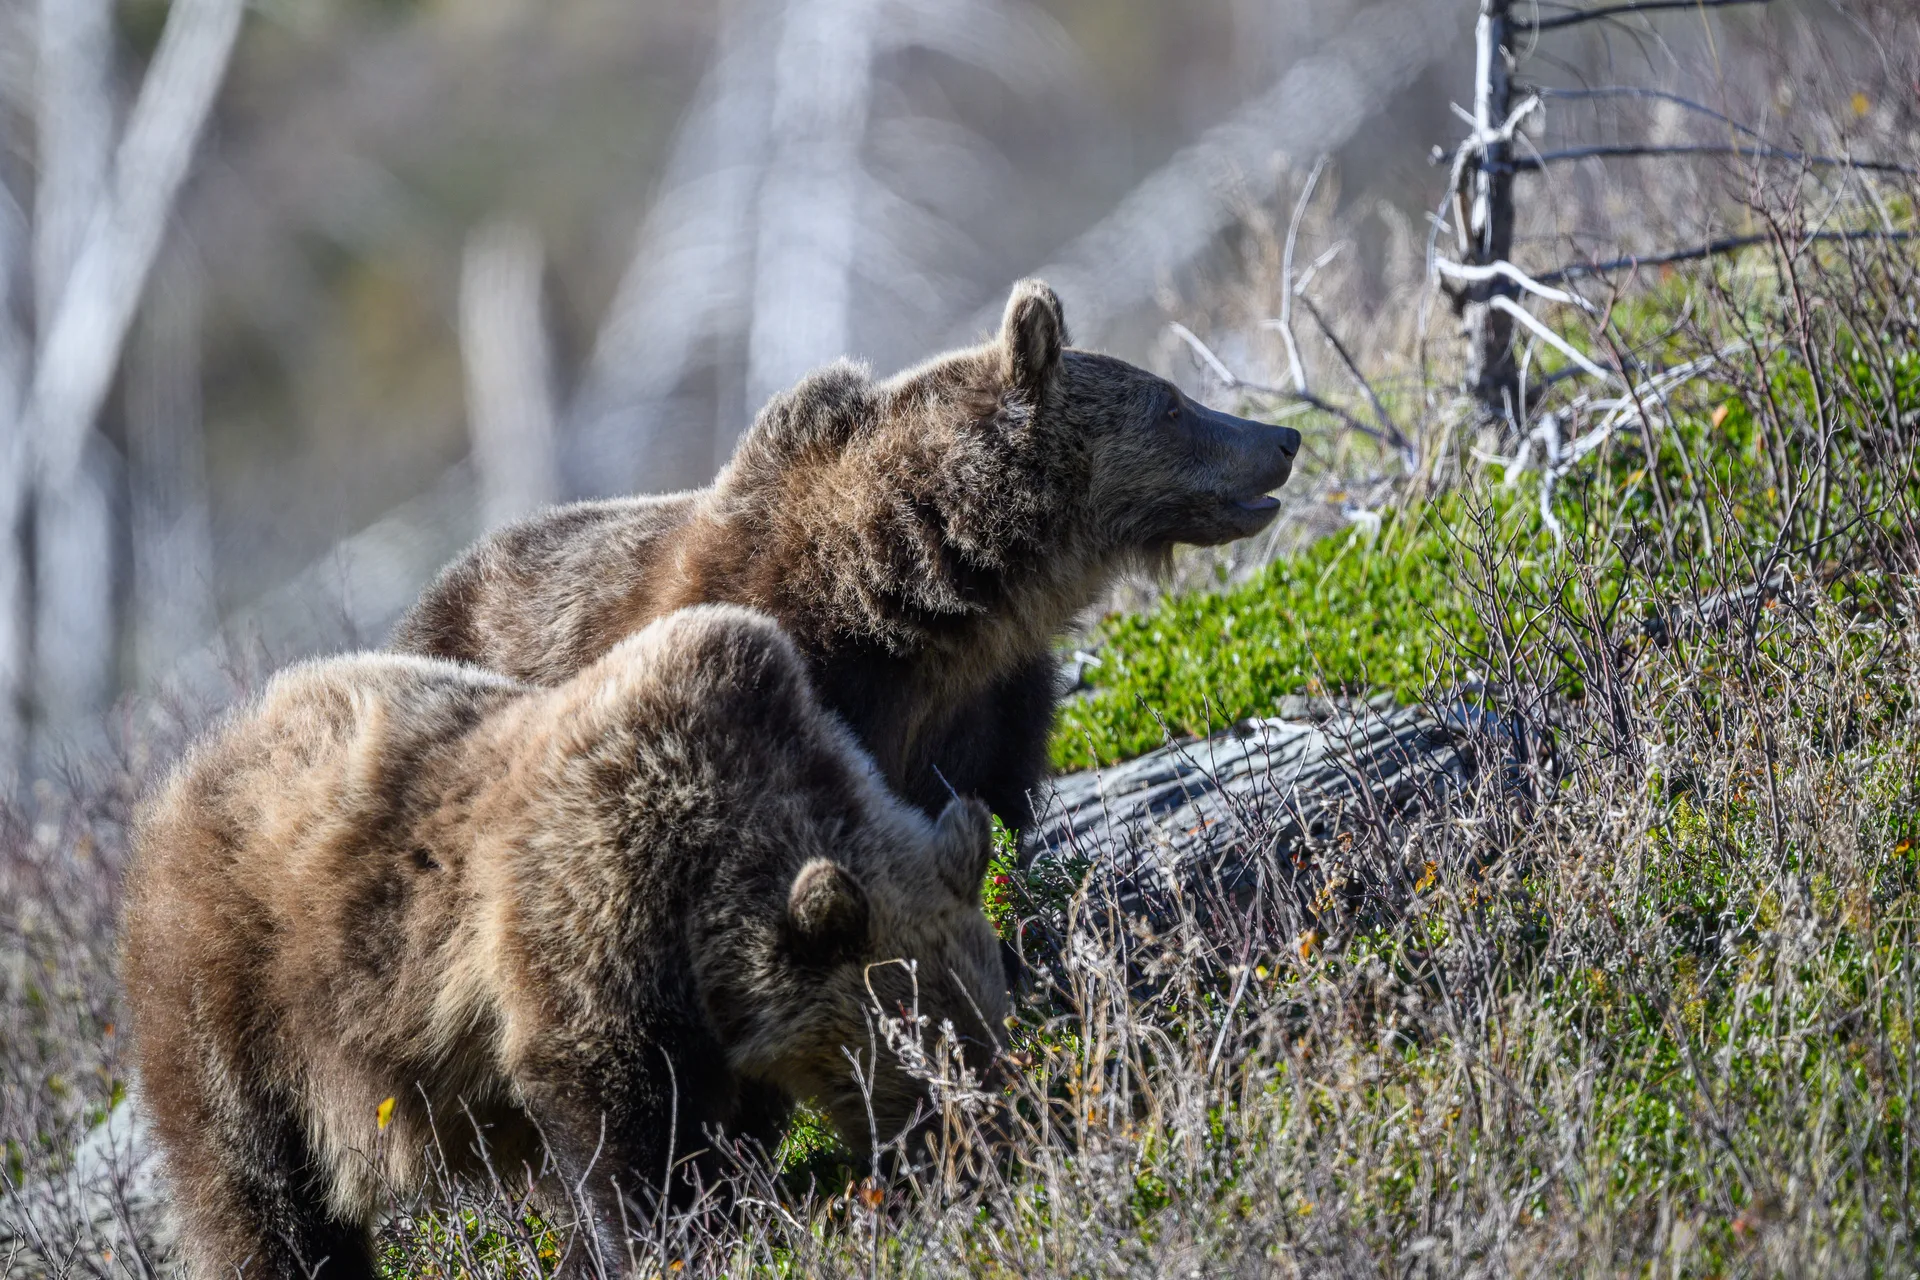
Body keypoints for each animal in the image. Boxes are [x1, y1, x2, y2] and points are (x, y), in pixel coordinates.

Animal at [122, 605, 1009, 1280]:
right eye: (920, 1059)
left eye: (994, 1031)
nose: (991, 1156)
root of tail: (187, 769)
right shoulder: (590, 906)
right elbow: (621, 1127)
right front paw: (668, 1243)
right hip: (237, 989)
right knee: (257, 1183)